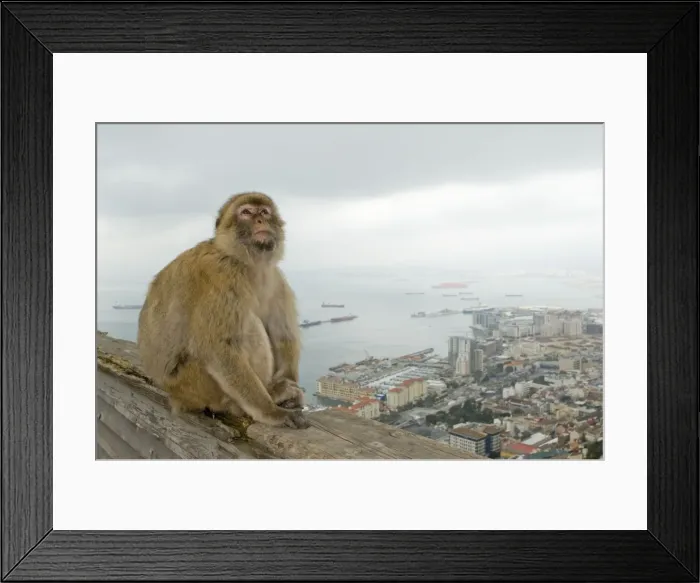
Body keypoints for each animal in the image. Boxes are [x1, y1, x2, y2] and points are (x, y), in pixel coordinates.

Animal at [136, 191, 309, 429]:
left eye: (264, 212)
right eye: (246, 212)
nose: (260, 220)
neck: (246, 263)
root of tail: (174, 395)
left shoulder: (276, 279)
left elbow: (283, 334)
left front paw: (289, 387)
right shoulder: (221, 275)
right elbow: (217, 347)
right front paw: (272, 412)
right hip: (196, 383)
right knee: (249, 325)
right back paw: (264, 396)